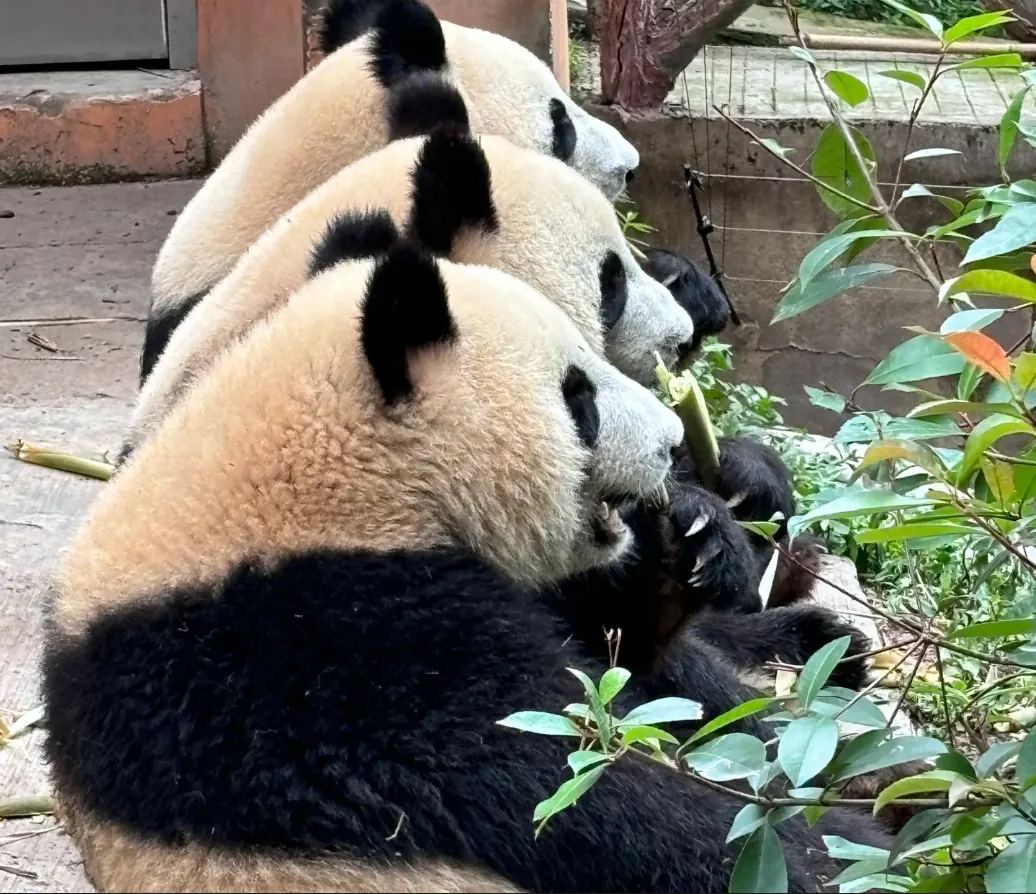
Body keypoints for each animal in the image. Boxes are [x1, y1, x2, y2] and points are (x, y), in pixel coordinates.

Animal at [44, 238, 892, 894]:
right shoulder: (314, 654)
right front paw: (842, 853)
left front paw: (697, 533)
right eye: (578, 395)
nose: (666, 443)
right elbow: (571, 781)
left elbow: (634, 664)